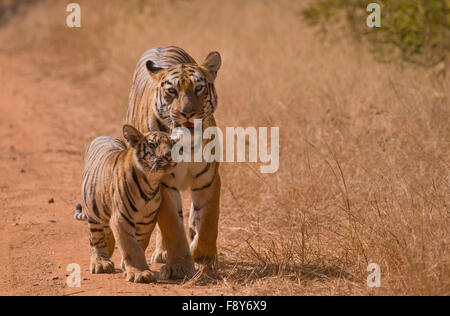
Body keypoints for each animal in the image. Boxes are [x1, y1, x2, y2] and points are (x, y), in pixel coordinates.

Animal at [126, 45, 221, 272]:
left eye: (198, 88)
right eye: (172, 91)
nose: (187, 113)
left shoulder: (208, 179)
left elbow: (208, 221)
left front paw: (203, 256)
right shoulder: (163, 183)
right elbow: (172, 226)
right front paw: (179, 265)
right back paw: (162, 253)